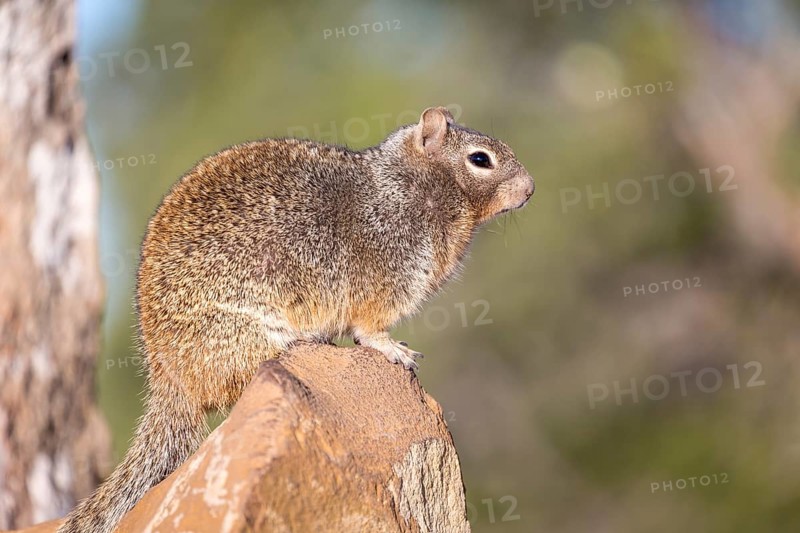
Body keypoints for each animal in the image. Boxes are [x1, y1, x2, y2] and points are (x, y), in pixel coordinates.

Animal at [58, 106, 534, 533]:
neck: (410, 185)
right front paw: (394, 349)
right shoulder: (386, 277)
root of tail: (168, 378)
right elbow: (369, 329)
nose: (530, 189)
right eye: (480, 159)